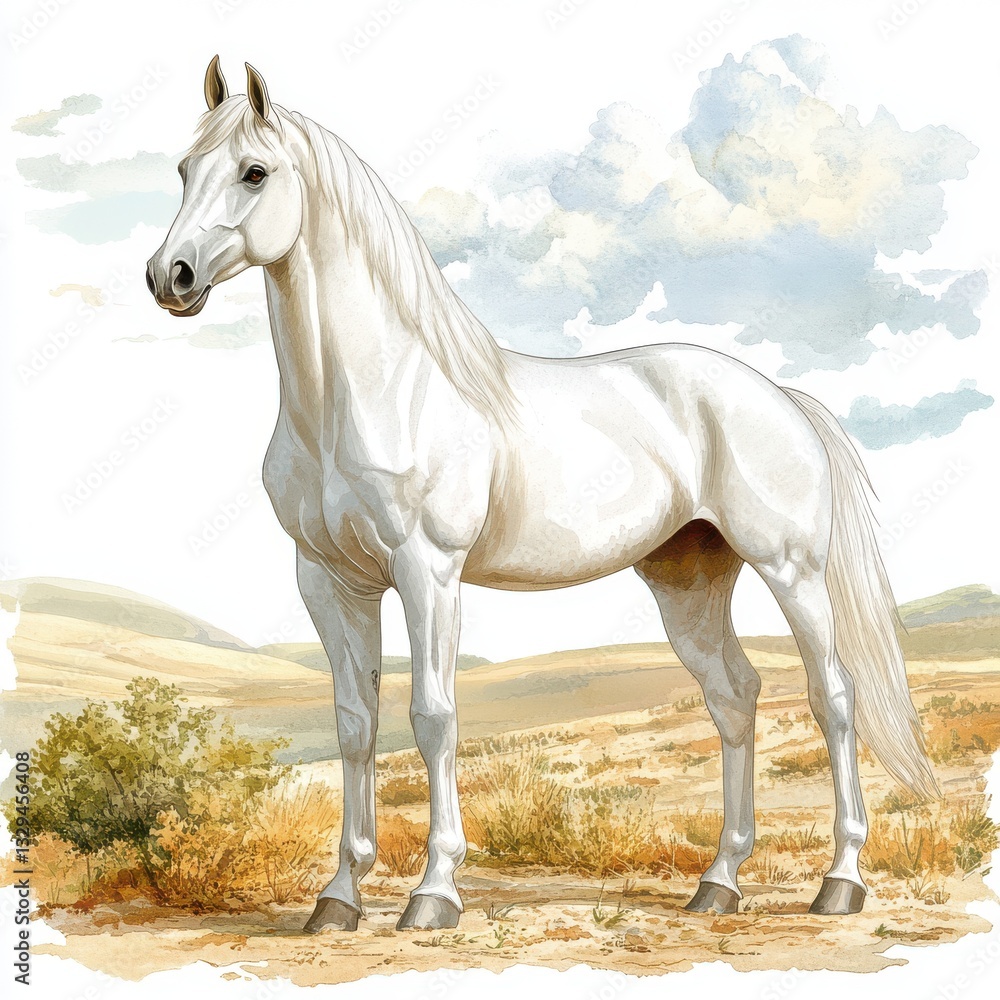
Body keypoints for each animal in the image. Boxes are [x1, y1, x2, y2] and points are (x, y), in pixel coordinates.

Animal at [147, 58, 938, 933]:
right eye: (184, 170)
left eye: (254, 172)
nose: (169, 278)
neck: (374, 390)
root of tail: (778, 396)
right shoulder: (328, 580)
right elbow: (355, 726)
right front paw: (339, 898)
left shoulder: (428, 572)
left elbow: (432, 718)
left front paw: (434, 893)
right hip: (688, 583)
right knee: (734, 698)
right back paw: (718, 882)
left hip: (791, 569)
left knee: (833, 696)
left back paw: (840, 881)